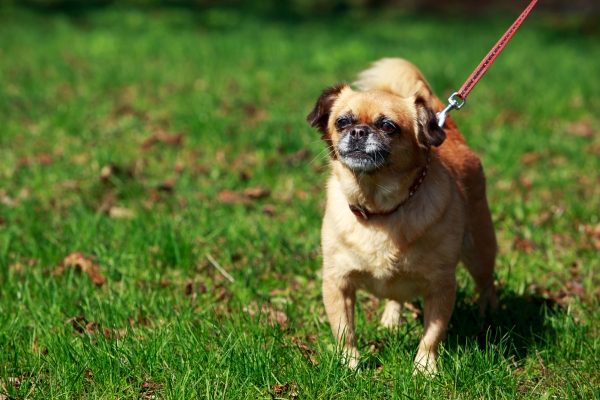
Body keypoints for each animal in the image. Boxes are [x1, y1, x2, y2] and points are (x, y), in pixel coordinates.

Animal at [308, 57, 500, 374]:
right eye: (342, 122)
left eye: (388, 126)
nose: (358, 131)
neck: (380, 210)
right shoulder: (338, 283)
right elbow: (344, 330)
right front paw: (350, 365)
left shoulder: (441, 286)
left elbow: (432, 333)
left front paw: (424, 369)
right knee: (395, 296)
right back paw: (391, 319)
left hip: (480, 250)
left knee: (487, 284)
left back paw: (489, 319)